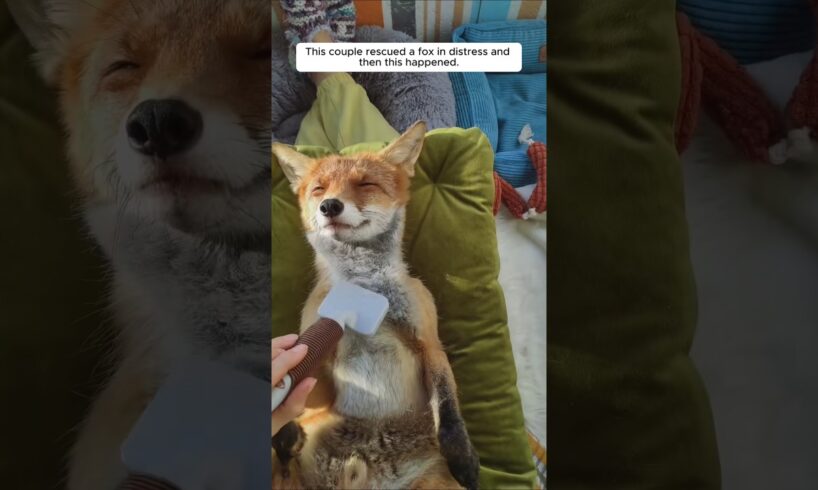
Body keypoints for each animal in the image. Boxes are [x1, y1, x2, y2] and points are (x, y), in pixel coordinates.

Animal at [271, 121, 480, 490]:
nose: (330, 206)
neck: (364, 284)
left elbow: (448, 409)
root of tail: (360, 477)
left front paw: (463, 458)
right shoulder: (320, 357)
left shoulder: (429, 342)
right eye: (319, 189)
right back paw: (286, 442)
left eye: (365, 184)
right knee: (282, 466)